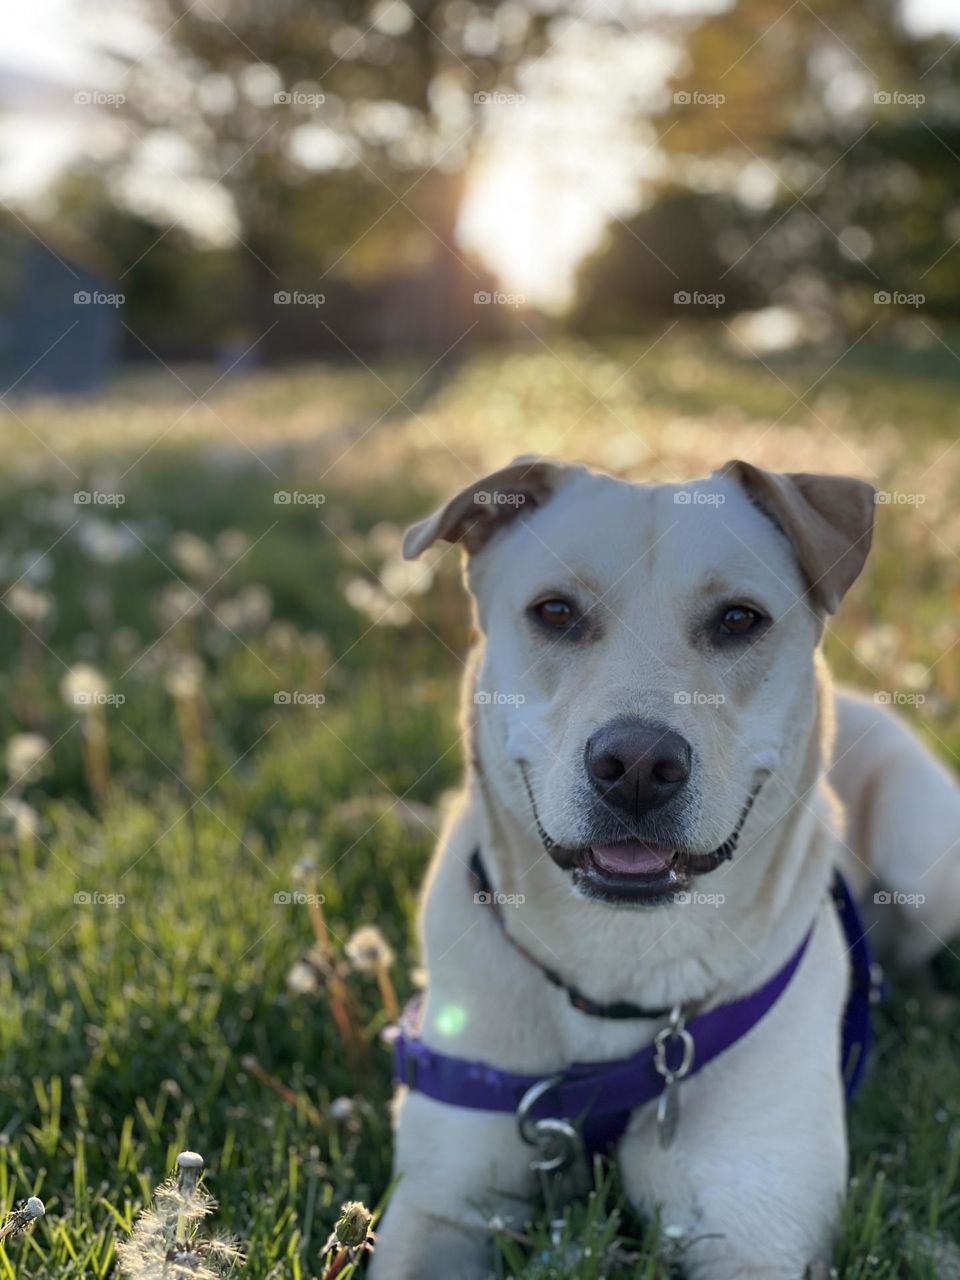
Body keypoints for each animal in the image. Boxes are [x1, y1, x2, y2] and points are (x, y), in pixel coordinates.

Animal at [373, 460, 960, 1280]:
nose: (637, 767)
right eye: (555, 612)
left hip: (921, 851)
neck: (619, 959)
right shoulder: (438, 1206)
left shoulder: (757, 1238)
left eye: (739, 620)